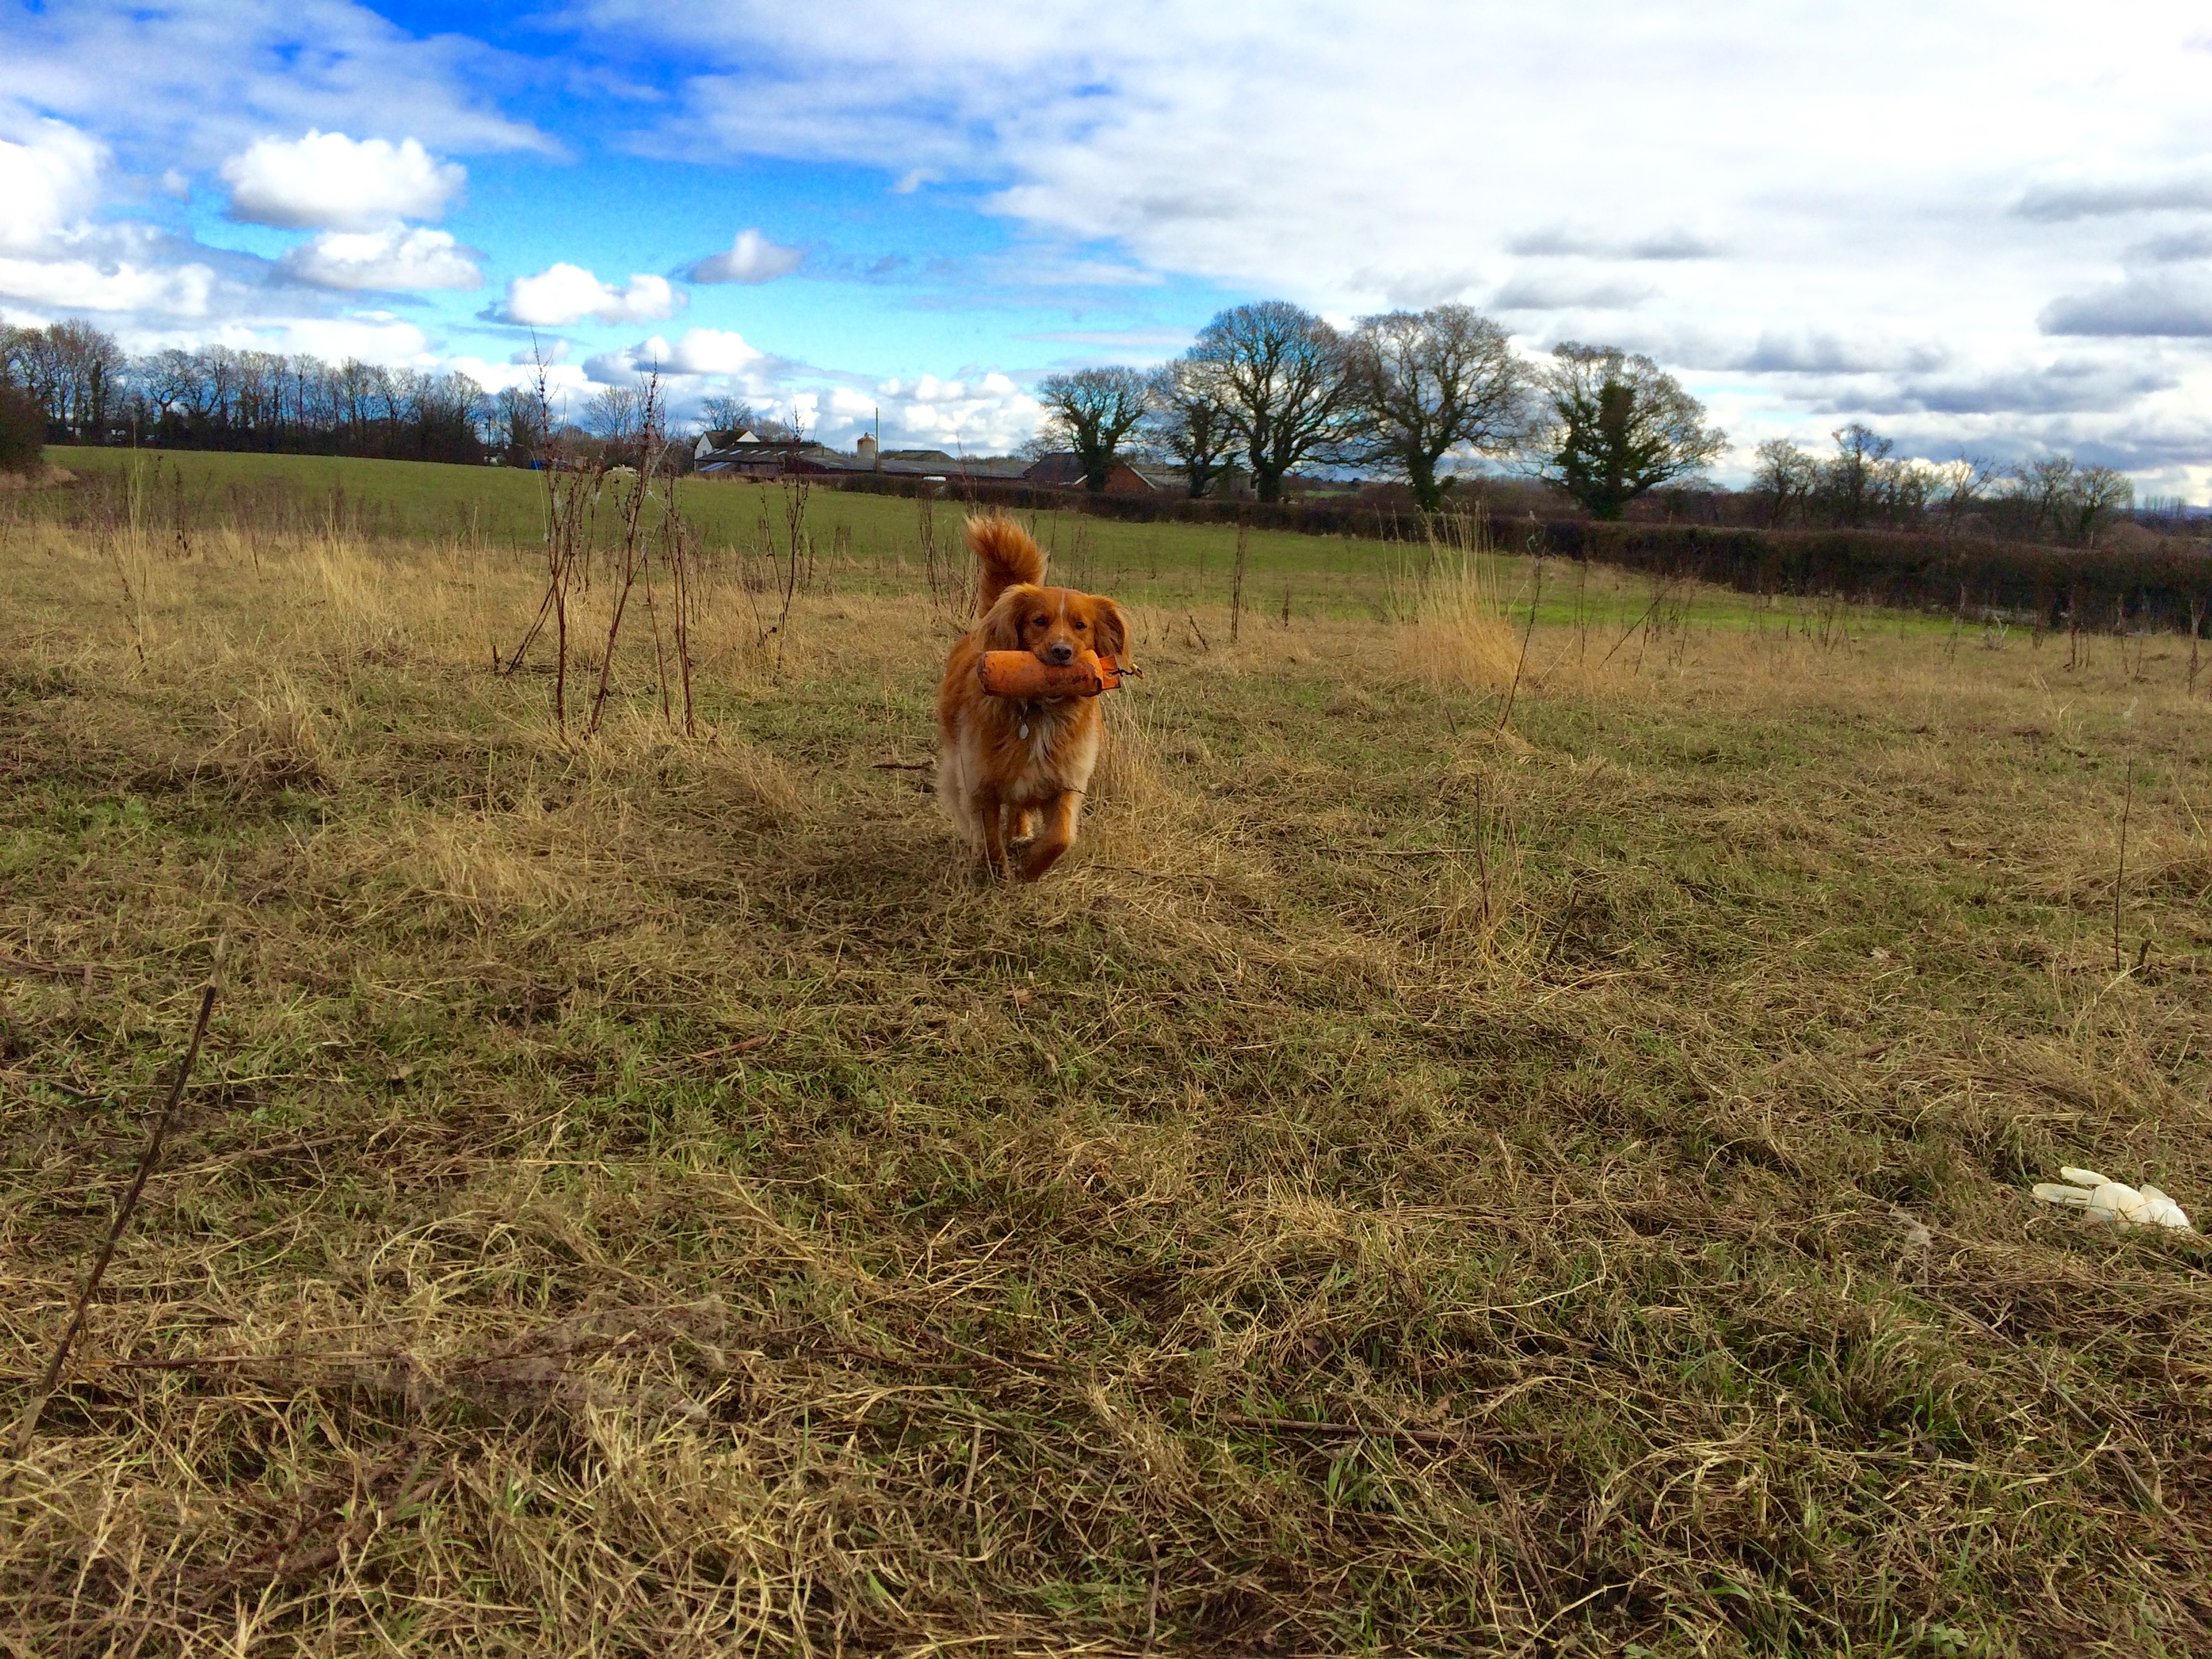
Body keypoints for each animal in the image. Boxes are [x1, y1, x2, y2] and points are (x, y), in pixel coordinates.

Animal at [937, 517, 1132, 884]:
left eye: (1081, 626)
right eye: (1039, 621)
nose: (1062, 652)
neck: (1039, 712)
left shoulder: (1067, 780)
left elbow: (1061, 836)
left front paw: (1030, 868)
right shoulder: (980, 781)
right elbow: (989, 837)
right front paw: (998, 874)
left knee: (1019, 809)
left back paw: (1020, 833)